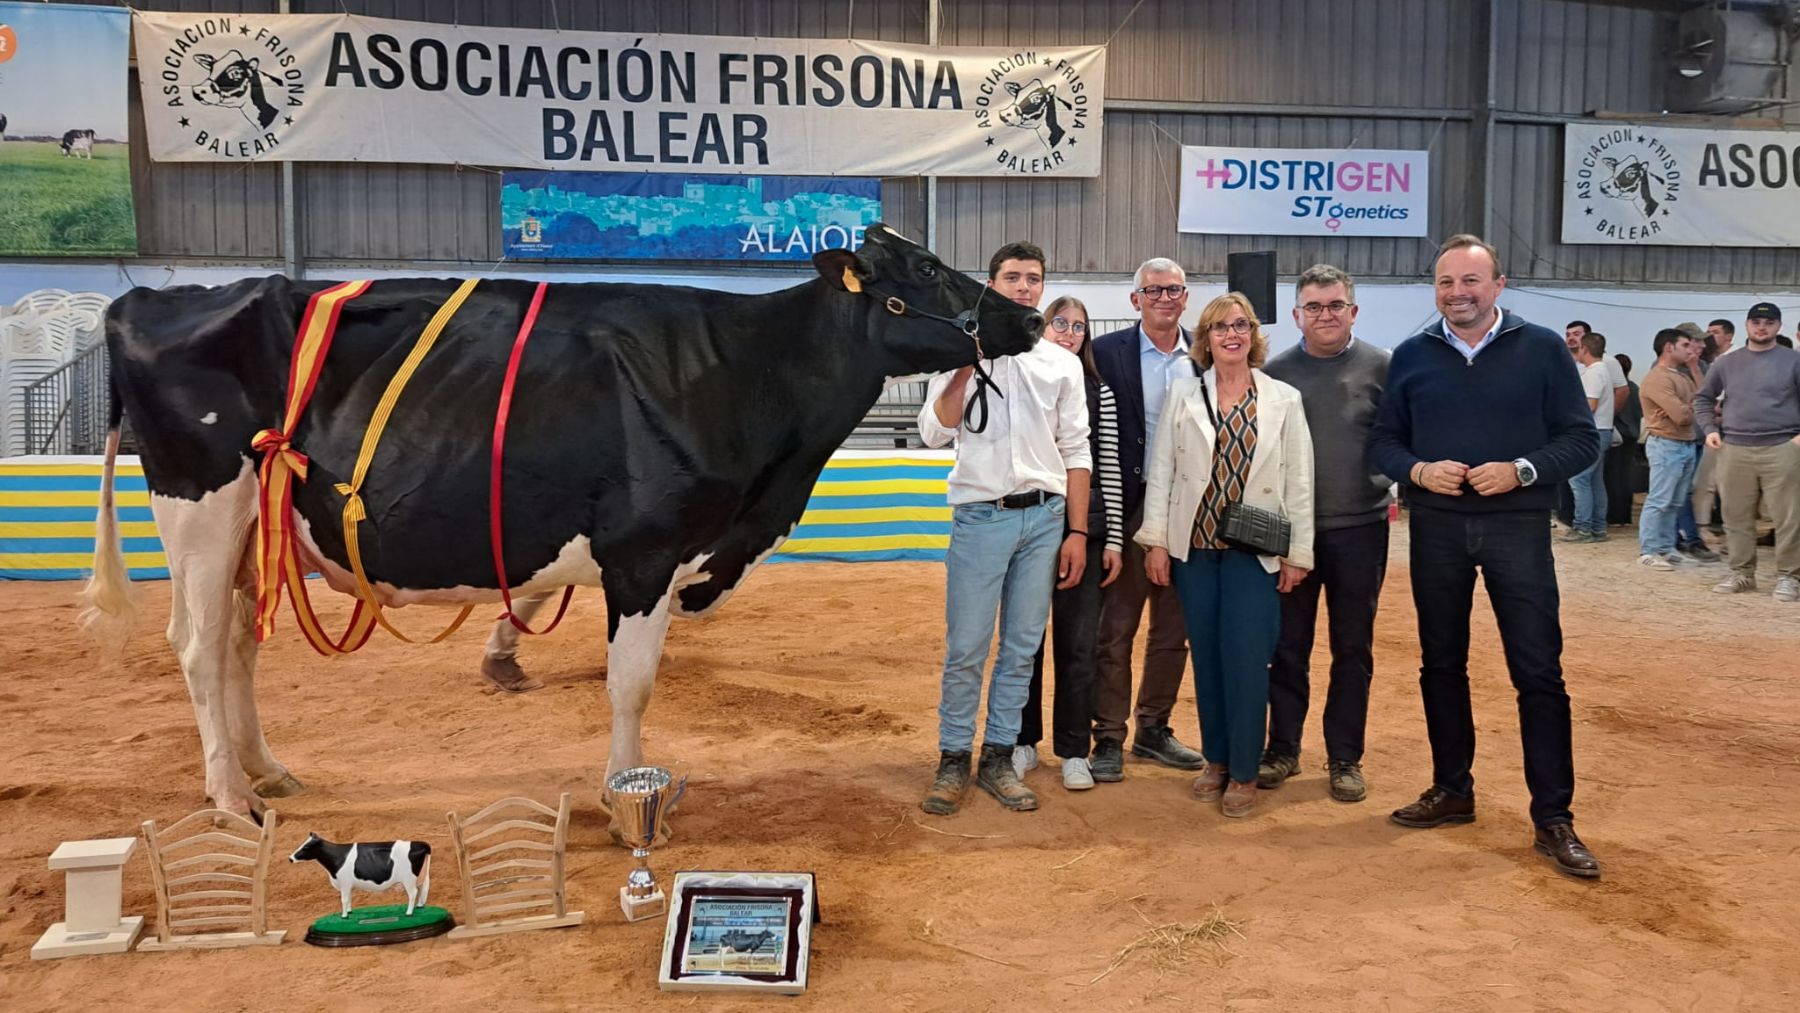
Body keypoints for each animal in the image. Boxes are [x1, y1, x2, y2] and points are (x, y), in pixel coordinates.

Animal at [84, 225, 1044, 820]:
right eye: (924, 271)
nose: (1030, 314)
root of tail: (142, 303)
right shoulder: (646, 553)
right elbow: (632, 685)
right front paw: (625, 791)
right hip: (202, 506)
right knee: (197, 646)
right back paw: (228, 796)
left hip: (255, 528)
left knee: (237, 643)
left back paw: (269, 770)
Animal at [288, 831, 432, 921]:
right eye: (302, 844)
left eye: (306, 847)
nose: (290, 858)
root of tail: (421, 844)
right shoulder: (348, 885)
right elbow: (349, 899)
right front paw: (349, 912)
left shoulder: (345, 883)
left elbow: (344, 900)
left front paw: (344, 916)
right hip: (420, 876)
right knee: (422, 889)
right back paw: (419, 906)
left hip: (408, 879)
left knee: (413, 893)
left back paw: (409, 913)